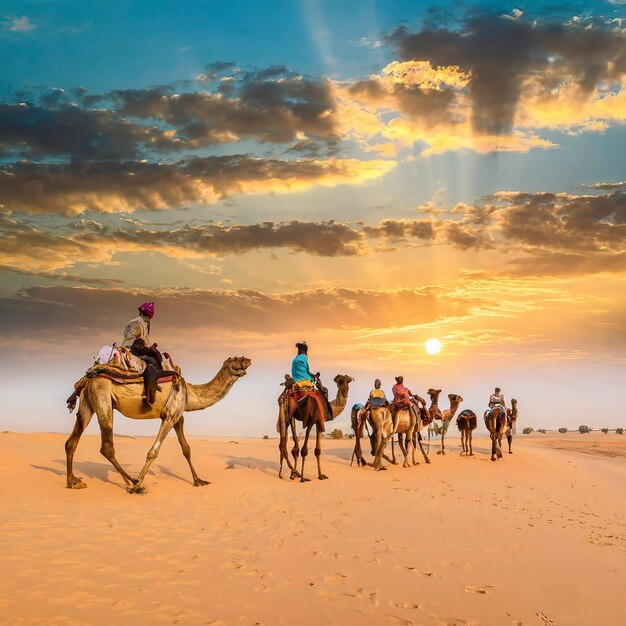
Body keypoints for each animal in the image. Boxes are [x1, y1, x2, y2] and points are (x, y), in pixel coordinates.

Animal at [63, 354, 249, 490]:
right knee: (107, 447)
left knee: (71, 442)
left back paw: (73, 481)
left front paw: (198, 481)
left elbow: (186, 449)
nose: (248, 360)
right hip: (103, 397)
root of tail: (87, 378)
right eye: (237, 359)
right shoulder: (170, 415)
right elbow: (154, 451)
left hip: (87, 403)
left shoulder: (178, 416)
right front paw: (139, 482)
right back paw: (133, 483)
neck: (190, 393)